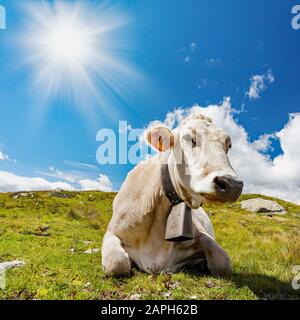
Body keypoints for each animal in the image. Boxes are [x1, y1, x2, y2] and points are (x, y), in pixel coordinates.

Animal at [102, 114, 243, 276]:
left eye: (228, 145)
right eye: (190, 139)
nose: (232, 184)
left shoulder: (200, 234)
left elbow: (223, 263)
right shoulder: (112, 232)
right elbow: (117, 264)